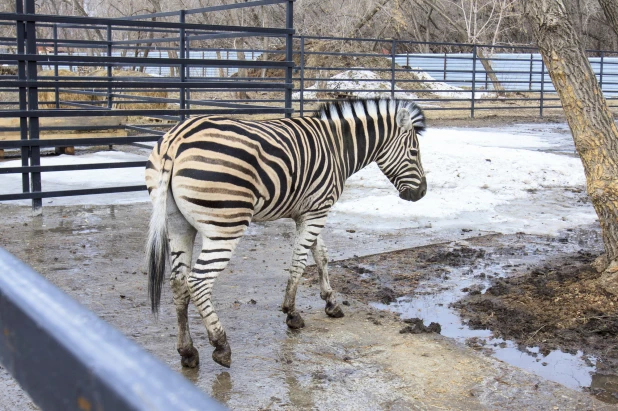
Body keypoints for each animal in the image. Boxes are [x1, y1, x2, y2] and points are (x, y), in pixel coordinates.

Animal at [146, 97, 424, 370]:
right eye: (414, 152)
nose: (421, 193)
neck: (337, 148)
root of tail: (176, 139)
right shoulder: (317, 211)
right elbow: (300, 261)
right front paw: (292, 313)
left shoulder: (309, 212)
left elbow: (321, 255)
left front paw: (331, 302)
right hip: (225, 225)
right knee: (198, 281)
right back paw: (220, 345)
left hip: (178, 225)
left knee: (179, 282)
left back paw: (187, 351)